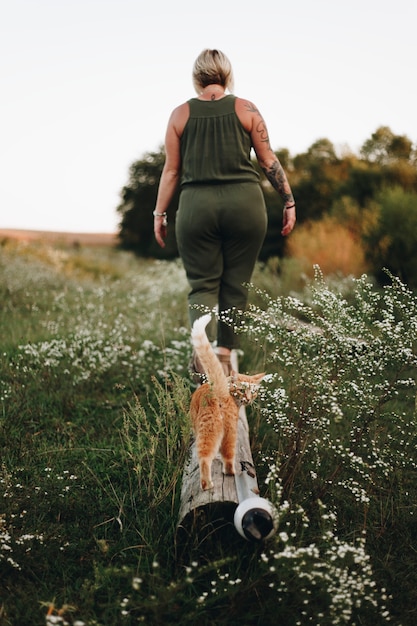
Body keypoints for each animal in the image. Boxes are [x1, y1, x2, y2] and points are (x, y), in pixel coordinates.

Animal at [188, 314, 264, 490]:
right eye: (243, 390)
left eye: (253, 392)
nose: (248, 398)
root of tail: (219, 391)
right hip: (227, 432)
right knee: (224, 457)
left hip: (210, 431)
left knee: (206, 456)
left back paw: (207, 484)